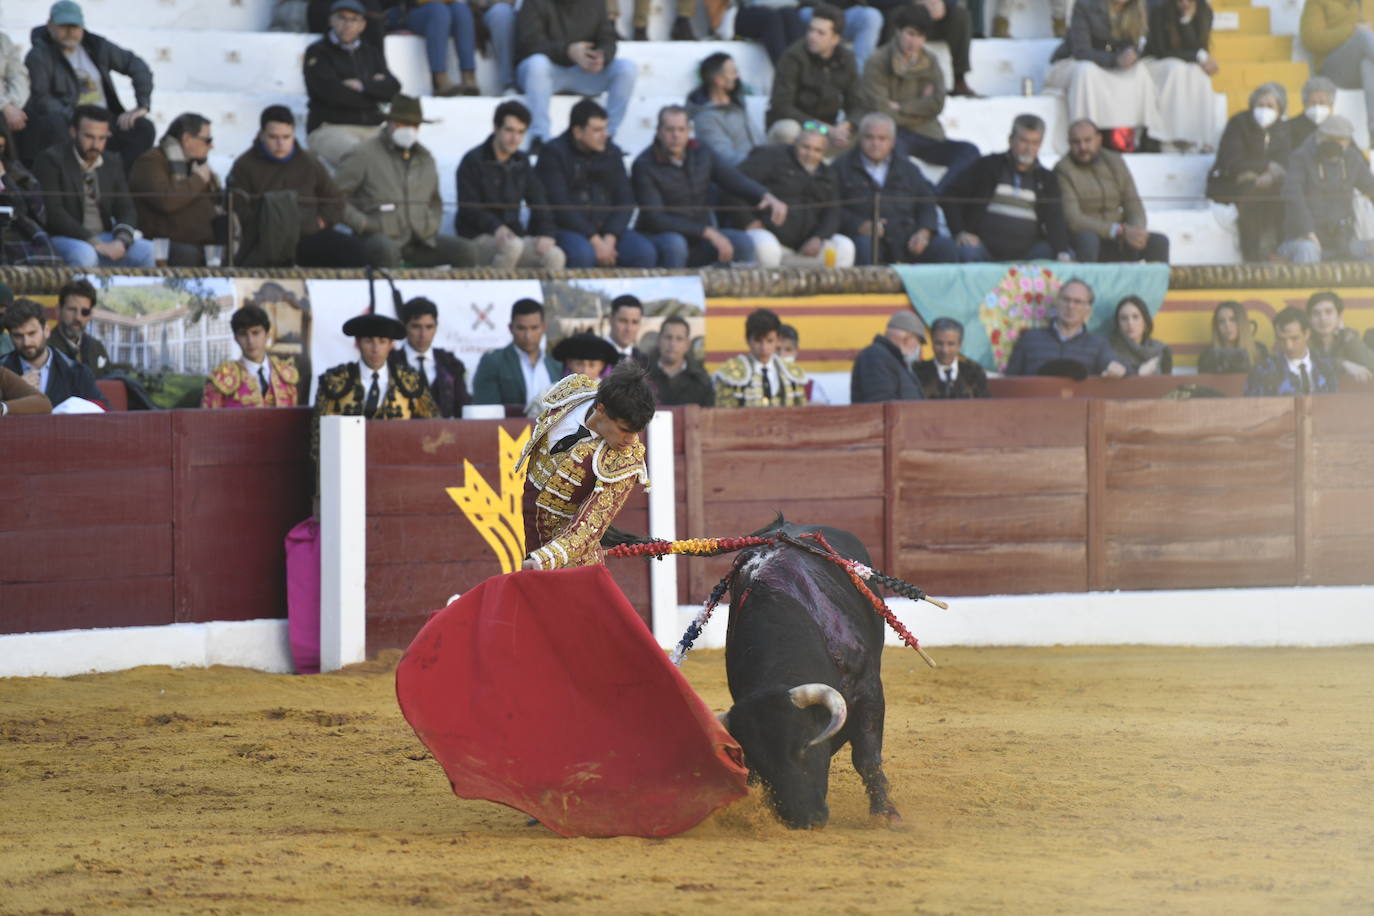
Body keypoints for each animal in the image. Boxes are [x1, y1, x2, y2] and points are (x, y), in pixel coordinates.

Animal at [719, 521, 901, 829]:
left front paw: (886, 814)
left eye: (804, 745)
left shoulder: (868, 689)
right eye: (758, 761)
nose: (803, 819)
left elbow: (866, 756)